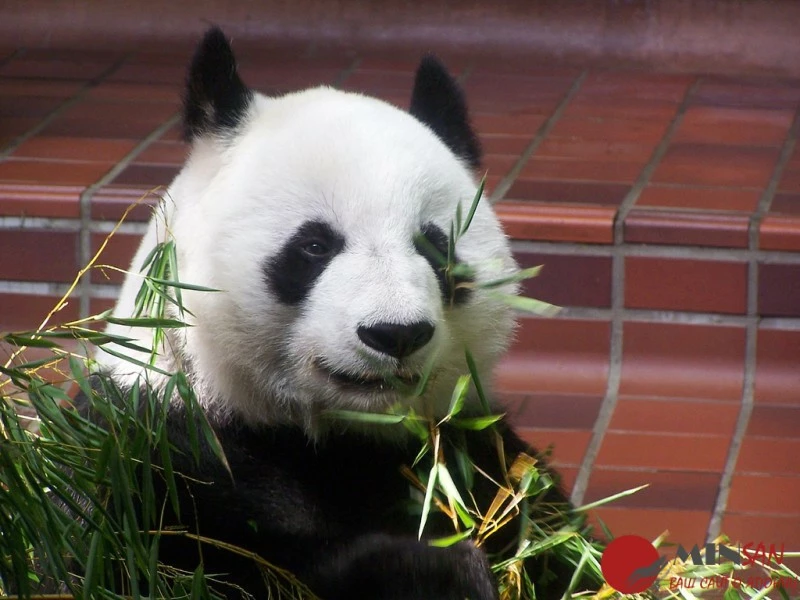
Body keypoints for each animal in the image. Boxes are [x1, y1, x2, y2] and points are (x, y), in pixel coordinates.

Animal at [92, 28, 588, 600]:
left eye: (434, 245)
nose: (396, 334)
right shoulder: (163, 453)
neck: (343, 434)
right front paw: (439, 569)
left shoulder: (474, 449)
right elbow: (225, 553)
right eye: (314, 246)